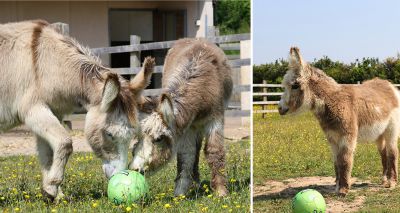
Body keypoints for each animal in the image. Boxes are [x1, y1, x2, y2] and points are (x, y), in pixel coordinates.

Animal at [0, 20, 154, 202]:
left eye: (132, 136)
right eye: (109, 134)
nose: (121, 175)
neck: (44, 63)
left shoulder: (51, 112)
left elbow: (48, 155)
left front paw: (54, 194)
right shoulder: (33, 110)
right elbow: (65, 142)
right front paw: (52, 187)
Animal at [130, 37, 233, 196]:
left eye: (158, 139)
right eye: (139, 137)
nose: (134, 169)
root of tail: (194, 38)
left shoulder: (215, 118)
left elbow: (214, 151)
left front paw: (221, 191)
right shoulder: (187, 126)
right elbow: (186, 155)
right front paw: (180, 192)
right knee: (195, 150)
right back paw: (194, 182)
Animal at [278, 47, 400, 196]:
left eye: (295, 85)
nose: (279, 108)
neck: (332, 102)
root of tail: (389, 85)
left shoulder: (347, 137)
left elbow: (345, 161)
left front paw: (343, 189)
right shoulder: (332, 138)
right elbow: (336, 162)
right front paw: (336, 187)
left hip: (391, 130)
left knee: (392, 153)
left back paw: (392, 183)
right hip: (379, 134)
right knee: (383, 154)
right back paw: (384, 180)